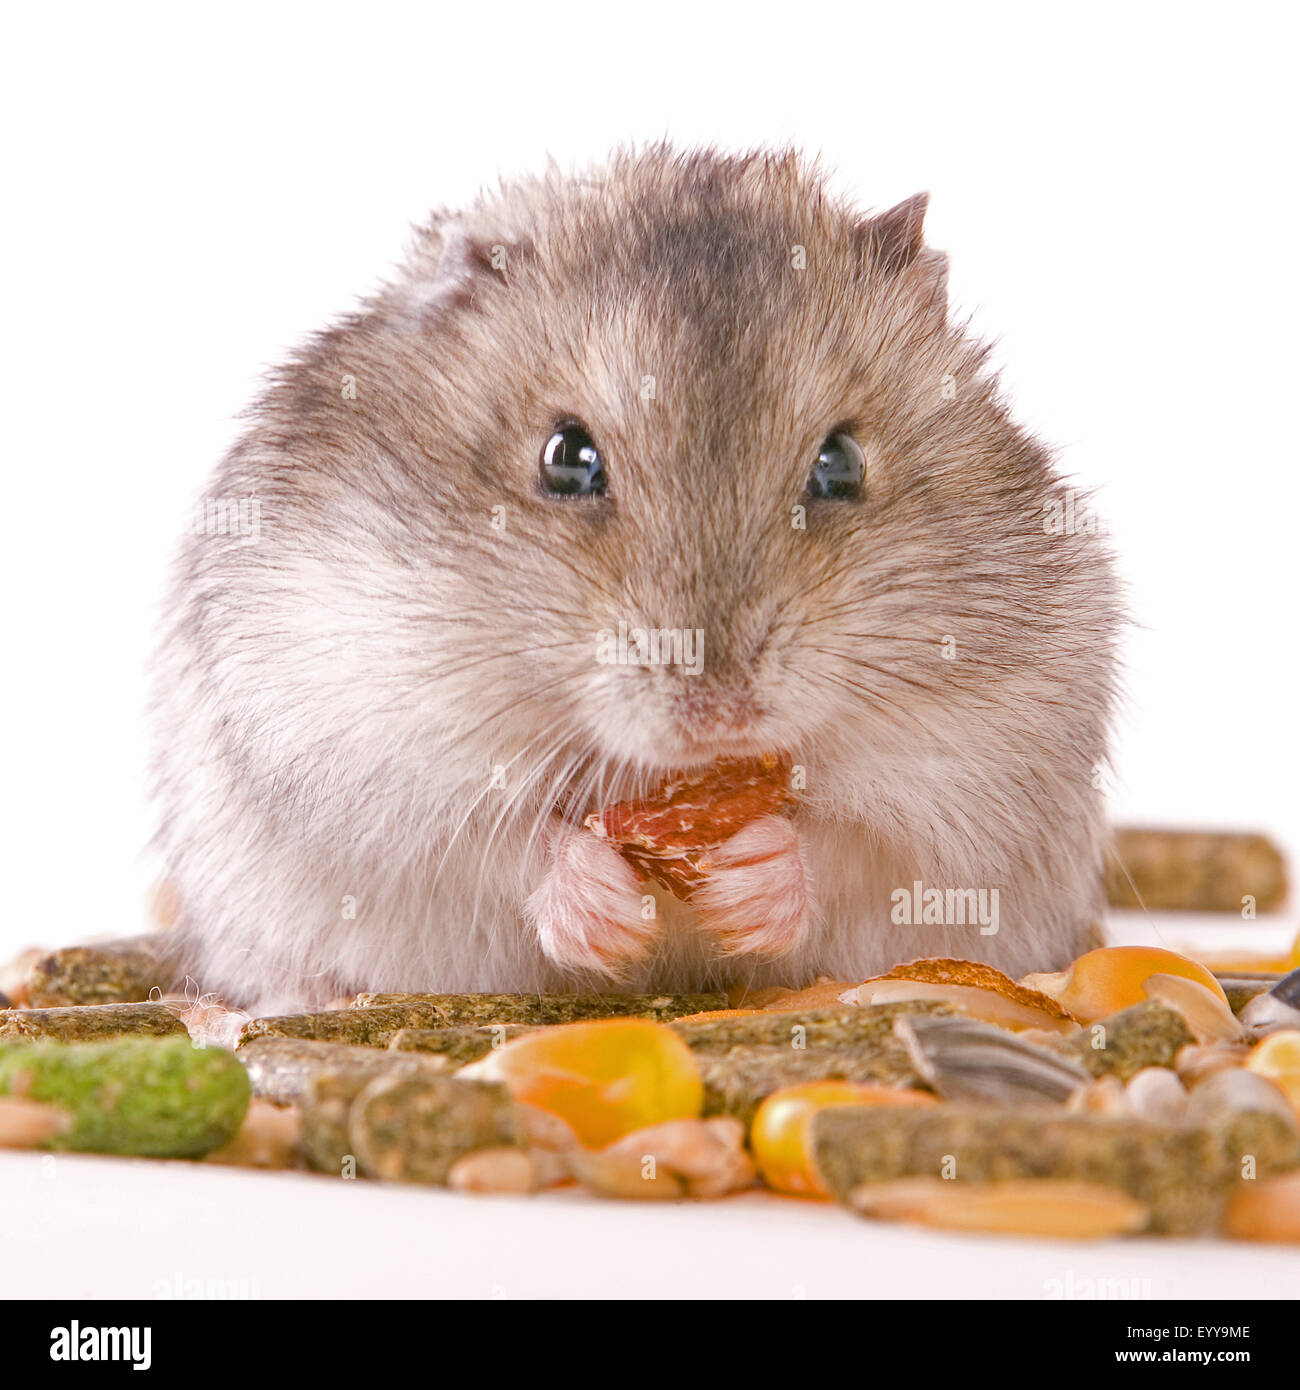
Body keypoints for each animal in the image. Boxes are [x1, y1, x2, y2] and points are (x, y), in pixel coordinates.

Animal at [152, 143, 1123, 1011]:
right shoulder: (354, 740)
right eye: (567, 459)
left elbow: (854, 845)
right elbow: (493, 848)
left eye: (840, 463)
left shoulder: (994, 761)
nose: (722, 718)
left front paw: (748, 880)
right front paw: (610, 919)